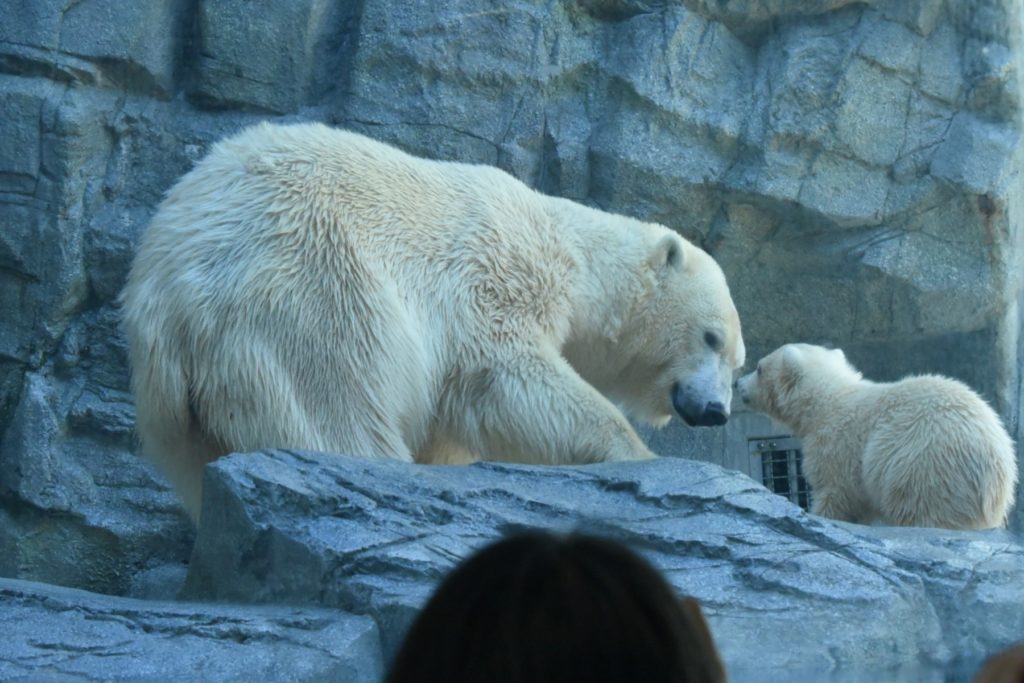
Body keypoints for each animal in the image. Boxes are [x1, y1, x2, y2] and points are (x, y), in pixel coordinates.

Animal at [120, 122, 746, 520]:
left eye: (738, 364)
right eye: (710, 337)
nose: (716, 411)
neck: (574, 257)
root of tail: (169, 289)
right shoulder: (499, 279)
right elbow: (511, 378)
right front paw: (640, 457)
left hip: (177, 405)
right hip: (311, 290)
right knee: (337, 405)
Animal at [735, 343, 1018, 529]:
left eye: (759, 368)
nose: (737, 384)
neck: (828, 401)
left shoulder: (837, 446)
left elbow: (835, 494)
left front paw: (819, 518)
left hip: (924, 464)